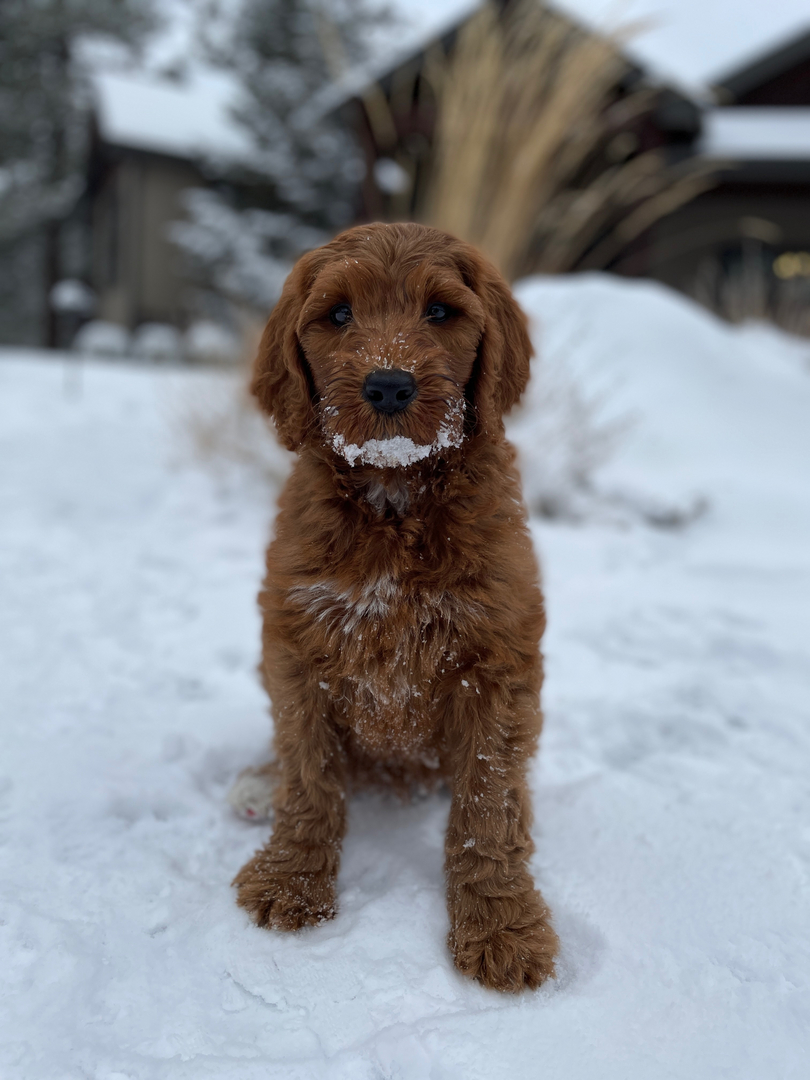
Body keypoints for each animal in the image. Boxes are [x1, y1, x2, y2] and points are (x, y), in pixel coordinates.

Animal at [228, 221, 557, 993]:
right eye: (338, 314)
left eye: (440, 312)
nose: (387, 384)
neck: (394, 496)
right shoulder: (296, 644)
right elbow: (308, 775)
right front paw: (291, 880)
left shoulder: (498, 658)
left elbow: (487, 803)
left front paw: (502, 928)